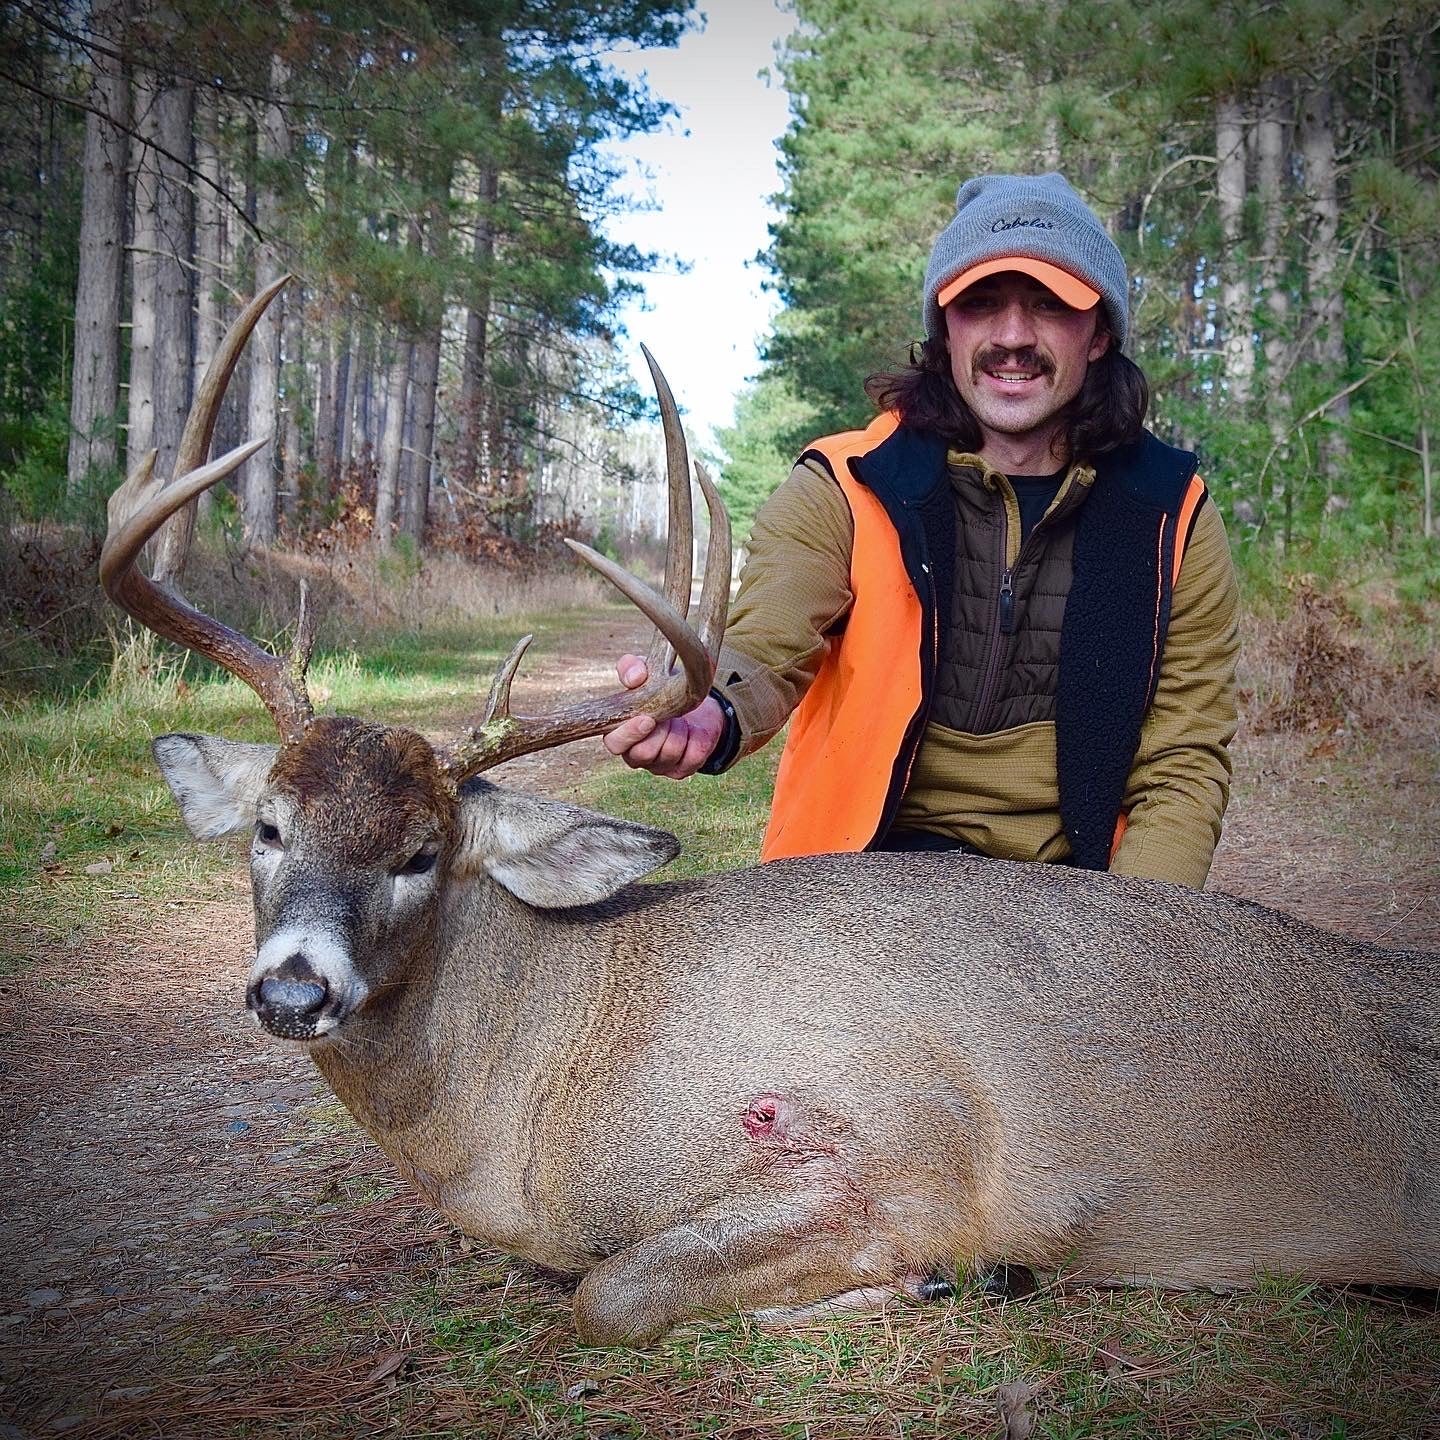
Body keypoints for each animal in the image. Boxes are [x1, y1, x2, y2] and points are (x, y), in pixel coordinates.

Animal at [102, 279, 1439, 1345]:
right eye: (269, 827)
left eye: (422, 853)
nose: (292, 990)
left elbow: (613, 1295)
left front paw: (920, 1287)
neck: (541, 1078)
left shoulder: (900, 1148)